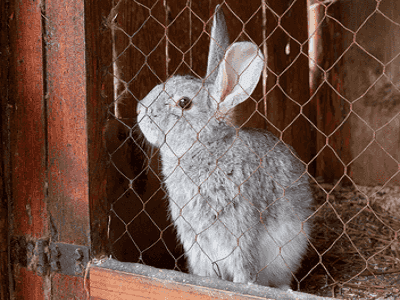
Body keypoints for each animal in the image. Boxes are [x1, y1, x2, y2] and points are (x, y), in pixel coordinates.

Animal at [136, 5, 314, 290]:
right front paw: (203, 283)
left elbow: (245, 267)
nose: (140, 110)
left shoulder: (241, 232)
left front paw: (242, 287)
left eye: (184, 102)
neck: (206, 147)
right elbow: (205, 273)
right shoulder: (196, 242)